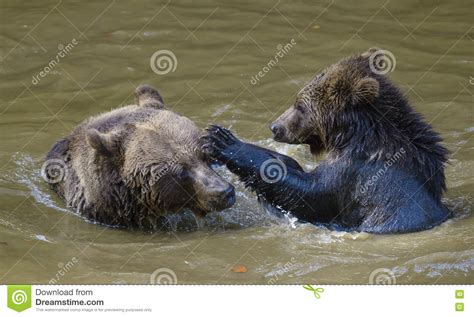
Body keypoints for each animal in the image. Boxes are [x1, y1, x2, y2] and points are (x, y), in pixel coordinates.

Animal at [205, 48, 452, 232]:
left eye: (300, 105)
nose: (275, 127)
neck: (354, 135)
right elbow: (289, 167)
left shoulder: (358, 172)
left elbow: (311, 194)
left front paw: (221, 139)